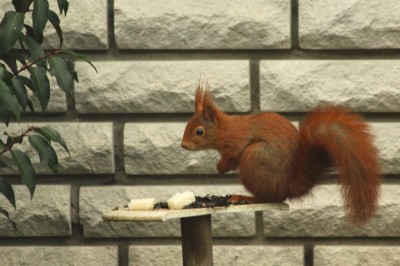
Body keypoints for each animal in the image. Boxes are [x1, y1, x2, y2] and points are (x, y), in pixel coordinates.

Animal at [181, 84, 382, 222]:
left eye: (199, 131)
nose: (183, 145)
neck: (226, 130)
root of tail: (287, 186)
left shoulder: (238, 142)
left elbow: (233, 155)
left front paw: (220, 167)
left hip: (254, 157)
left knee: (268, 198)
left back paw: (244, 197)